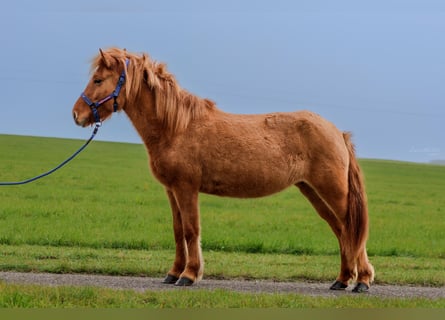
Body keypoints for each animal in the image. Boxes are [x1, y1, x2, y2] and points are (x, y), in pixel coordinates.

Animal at [71, 47, 372, 292]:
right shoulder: (171, 190)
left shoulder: (186, 188)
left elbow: (191, 230)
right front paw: (173, 273)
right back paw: (343, 279)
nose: (77, 115)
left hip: (333, 191)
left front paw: (189, 275)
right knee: (342, 230)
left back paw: (363, 281)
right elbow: (178, 231)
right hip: (312, 191)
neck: (176, 127)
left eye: (98, 80)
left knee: (351, 229)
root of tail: (337, 131)